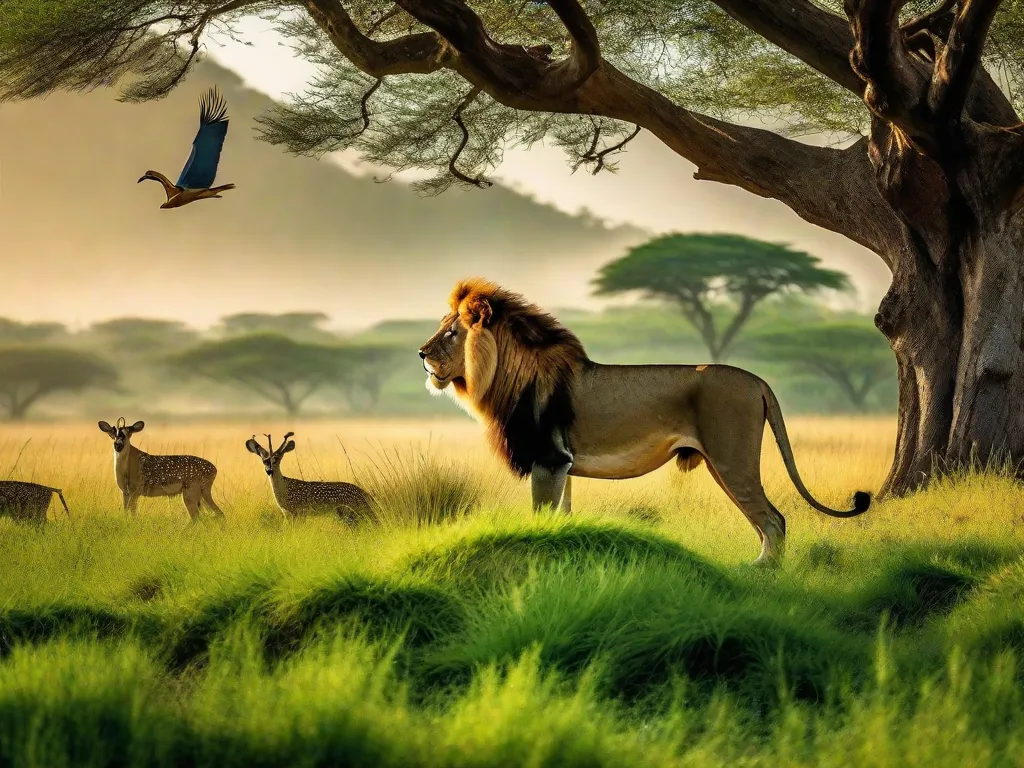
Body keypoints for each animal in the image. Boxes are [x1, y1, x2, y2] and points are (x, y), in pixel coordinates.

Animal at [418, 277, 870, 567]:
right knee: (765, 522)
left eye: (452, 333)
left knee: (774, 521)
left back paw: (761, 574)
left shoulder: (549, 459)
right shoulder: (562, 466)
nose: (421, 353)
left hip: (732, 459)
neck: (504, 375)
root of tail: (757, 380)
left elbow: (542, 516)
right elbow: (562, 517)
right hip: (721, 464)